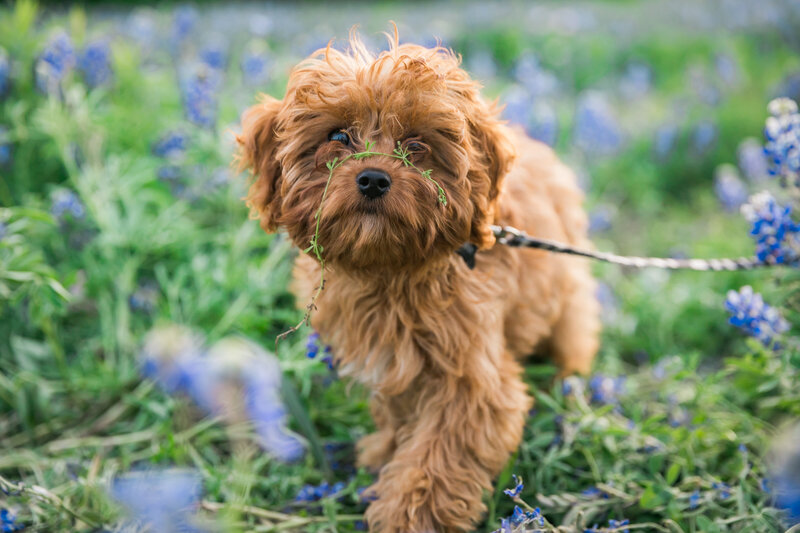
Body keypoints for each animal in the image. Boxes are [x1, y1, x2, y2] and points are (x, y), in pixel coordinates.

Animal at [238, 31, 600, 528]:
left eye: (416, 144)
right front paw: (385, 453)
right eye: (338, 136)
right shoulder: (391, 357)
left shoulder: (472, 382)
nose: (373, 178)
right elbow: (399, 411)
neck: (389, 270)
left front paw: (406, 517)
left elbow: (438, 456)